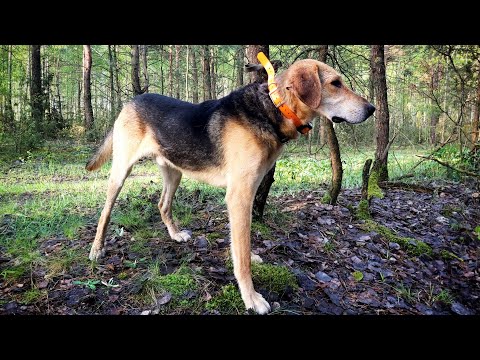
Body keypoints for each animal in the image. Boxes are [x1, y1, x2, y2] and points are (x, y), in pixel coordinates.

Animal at [85, 57, 376, 314]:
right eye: (335, 83)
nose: (372, 109)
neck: (273, 108)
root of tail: (130, 101)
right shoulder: (240, 195)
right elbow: (242, 253)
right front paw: (251, 297)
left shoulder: (250, 189)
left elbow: (243, 245)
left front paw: (250, 258)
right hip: (121, 171)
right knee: (105, 211)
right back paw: (97, 249)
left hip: (174, 170)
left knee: (162, 204)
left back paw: (175, 234)